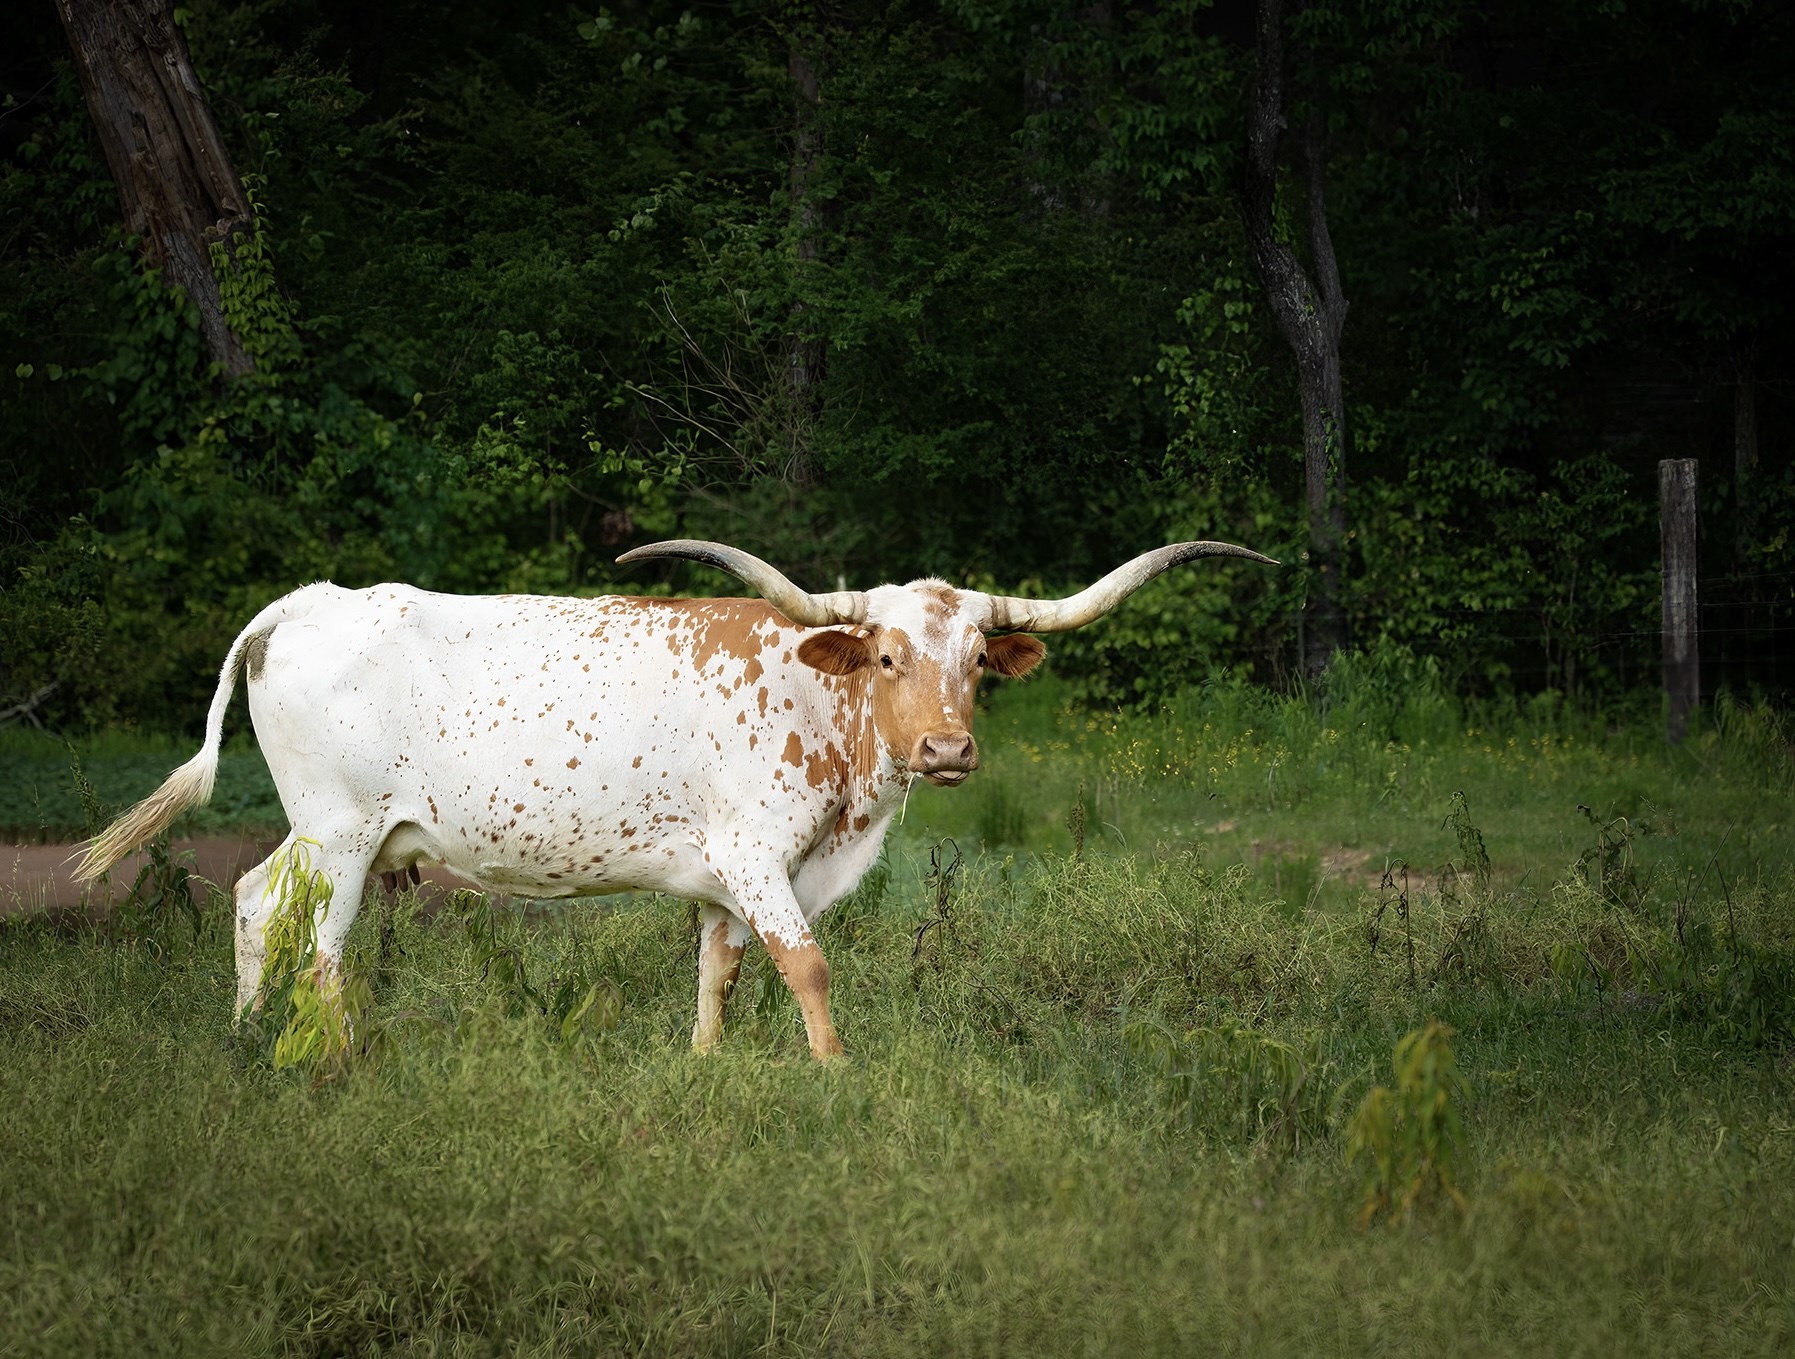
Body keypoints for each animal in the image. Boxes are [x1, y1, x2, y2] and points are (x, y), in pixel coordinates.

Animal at [75, 538, 1274, 1059]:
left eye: (978, 659)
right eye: (886, 655)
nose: (946, 749)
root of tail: (309, 599)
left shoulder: (717, 878)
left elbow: (717, 973)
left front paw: (703, 1073)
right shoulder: (756, 855)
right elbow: (806, 965)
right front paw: (834, 1077)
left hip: (323, 831)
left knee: (254, 903)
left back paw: (243, 1041)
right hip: (344, 833)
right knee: (323, 949)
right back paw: (329, 1062)